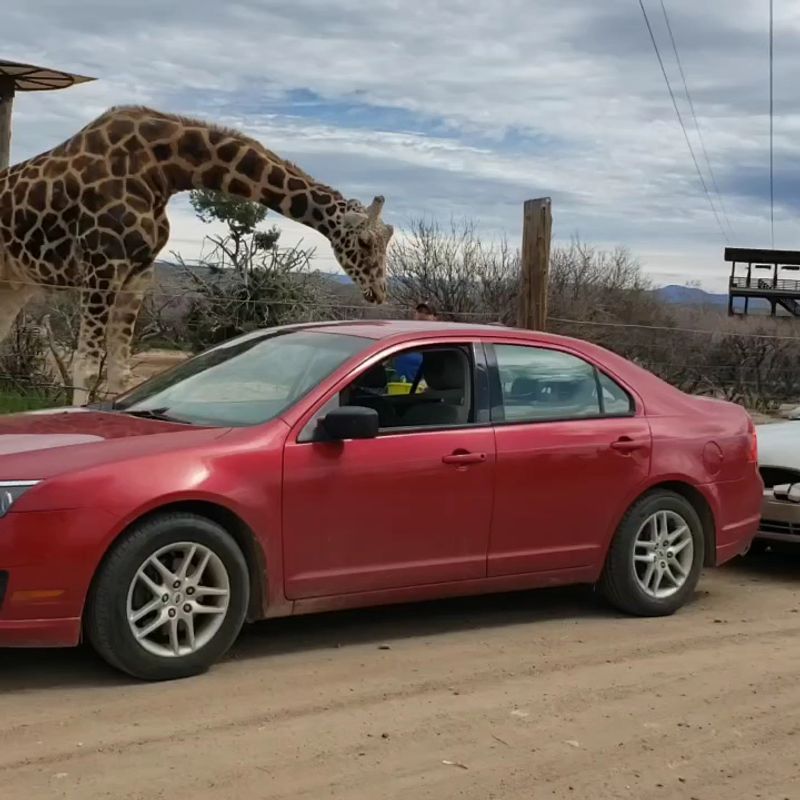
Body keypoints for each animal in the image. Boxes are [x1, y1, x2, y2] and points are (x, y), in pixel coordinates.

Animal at [0, 105, 394, 405]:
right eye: (364, 243)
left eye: (387, 239)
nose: (379, 293)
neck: (163, 170)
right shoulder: (102, 265)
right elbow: (86, 362)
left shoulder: (138, 272)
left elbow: (120, 370)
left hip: (14, 283)